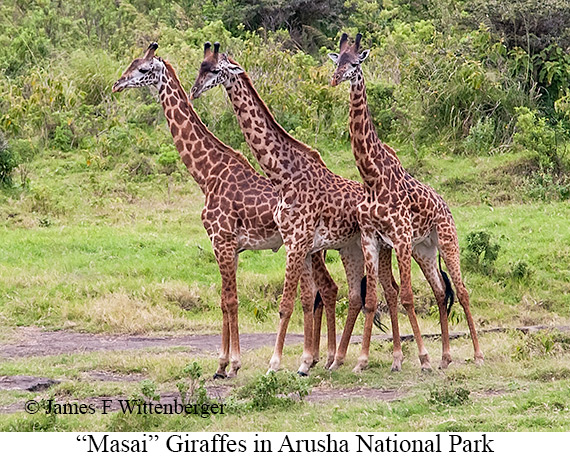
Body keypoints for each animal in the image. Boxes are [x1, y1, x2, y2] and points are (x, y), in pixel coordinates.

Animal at [112, 41, 340, 378]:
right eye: (130, 63)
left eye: (142, 69)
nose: (117, 84)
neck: (207, 173)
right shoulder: (229, 246)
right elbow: (223, 300)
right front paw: (223, 363)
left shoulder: (222, 240)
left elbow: (230, 300)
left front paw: (231, 364)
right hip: (312, 249)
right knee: (320, 293)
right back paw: (315, 359)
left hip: (308, 247)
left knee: (323, 291)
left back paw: (317, 359)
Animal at [328, 33, 484, 370]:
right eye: (337, 62)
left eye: (355, 63)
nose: (335, 79)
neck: (371, 177)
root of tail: (446, 207)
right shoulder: (371, 238)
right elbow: (373, 299)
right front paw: (362, 361)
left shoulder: (399, 237)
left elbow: (407, 297)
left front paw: (422, 358)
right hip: (423, 249)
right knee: (440, 291)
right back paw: (445, 357)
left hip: (447, 241)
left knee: (462, 291)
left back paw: (477, 355)